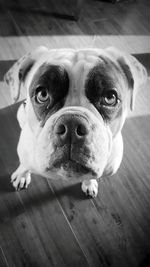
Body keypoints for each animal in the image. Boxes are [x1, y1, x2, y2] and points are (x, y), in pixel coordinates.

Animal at [4, 46, 146, 198]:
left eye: (110, 97)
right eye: (42, 94)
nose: (71, 125)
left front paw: (89, 183)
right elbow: (24, 165)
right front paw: (21, 174)